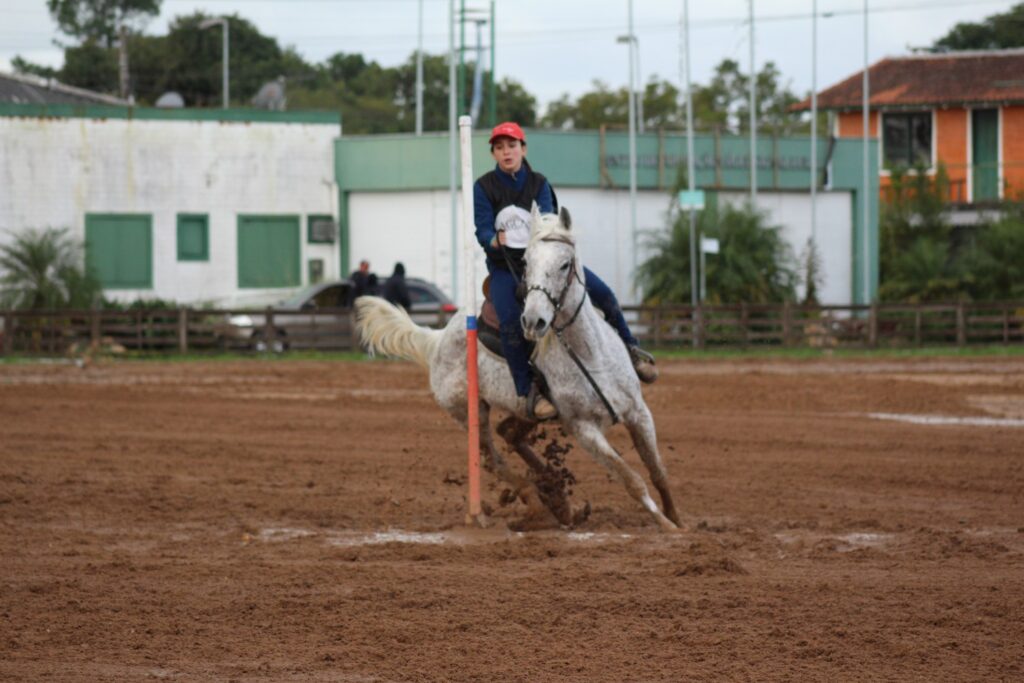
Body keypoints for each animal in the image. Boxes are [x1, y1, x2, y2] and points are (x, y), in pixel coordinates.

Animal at [356, 205, 684, 532]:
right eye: (527, 261)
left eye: (565, 264)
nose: (533, 321)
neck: (591, 354)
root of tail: (437, 340)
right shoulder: (583, 429)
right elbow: (631, 478)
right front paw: (665, 526)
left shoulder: (638, 412)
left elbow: (658, 470)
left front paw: (678, 520)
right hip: (470, 412)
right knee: (493, 459)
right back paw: (538, 501)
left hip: (529, 411)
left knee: (510, 434)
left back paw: (559, 500)